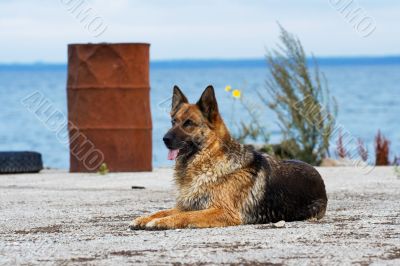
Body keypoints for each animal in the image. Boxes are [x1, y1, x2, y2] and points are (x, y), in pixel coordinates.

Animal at [130, 86, 326, 230]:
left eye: (188, 123)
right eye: (173, 122)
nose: (164, 139)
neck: (209, 161)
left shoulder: (222, 211)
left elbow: (185, 216)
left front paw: (160, 222)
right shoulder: (187, 205)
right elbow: (164, 211)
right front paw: (144, 218)